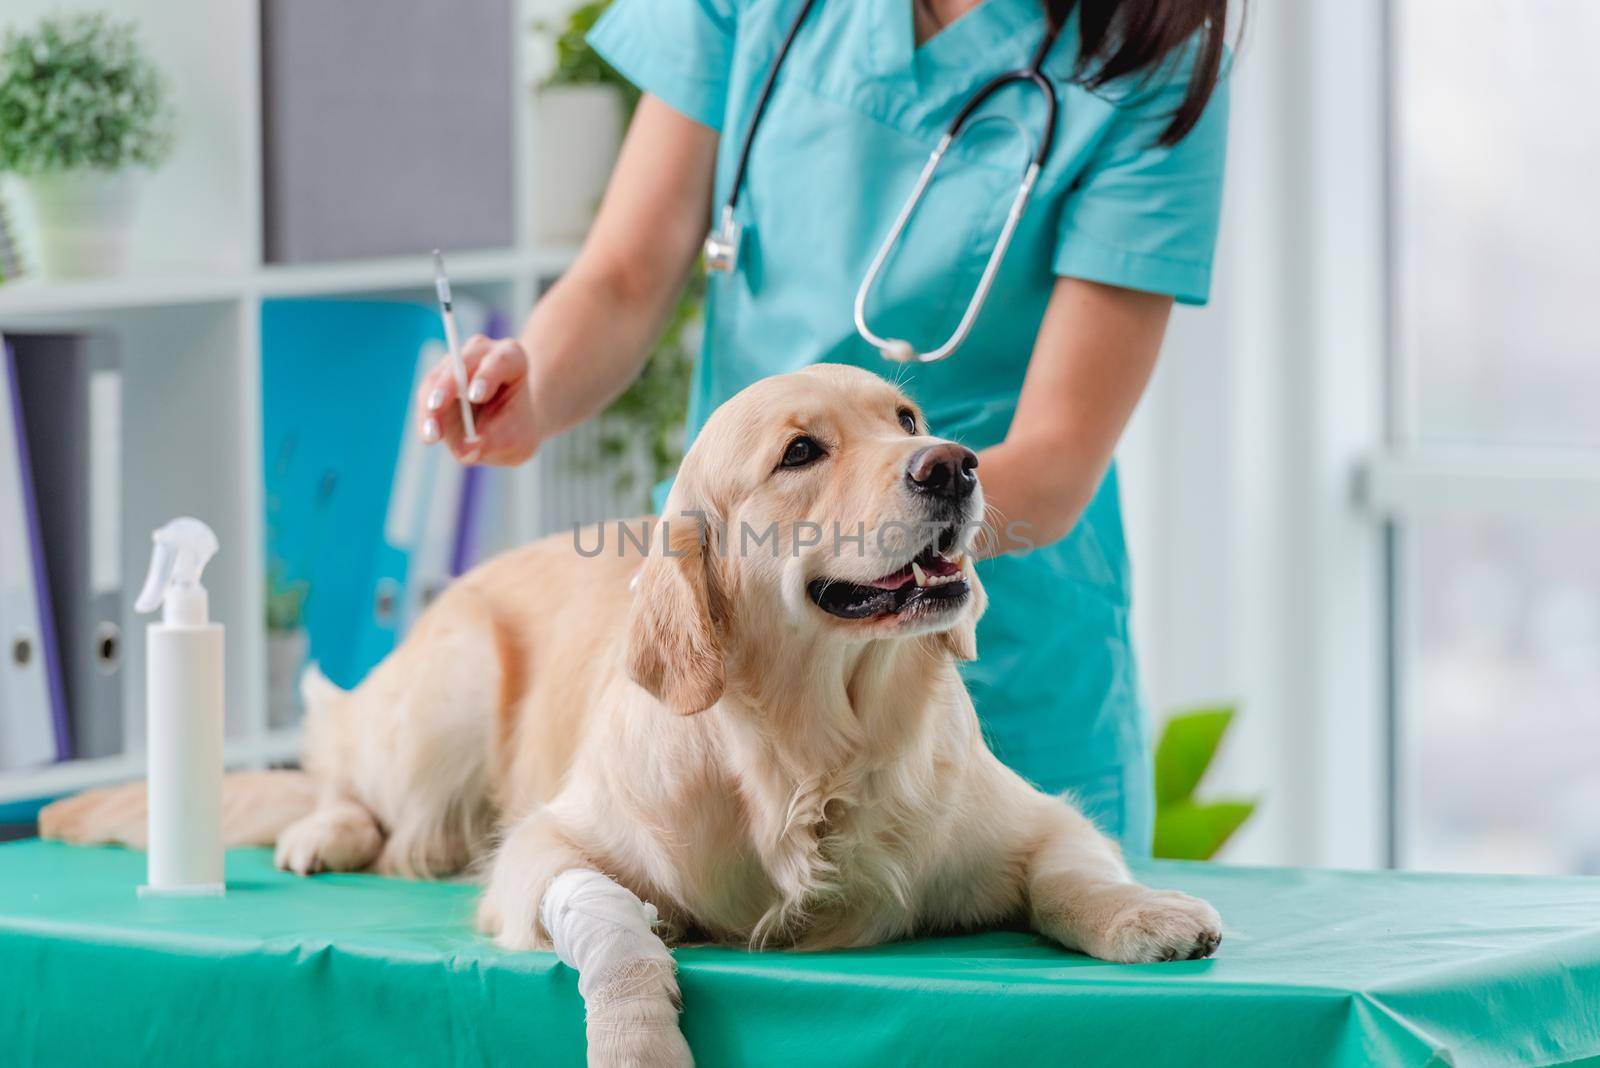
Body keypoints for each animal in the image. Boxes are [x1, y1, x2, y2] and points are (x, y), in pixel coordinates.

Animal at [46, 362, 1222, 1061]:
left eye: (907, 420)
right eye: (802, 452)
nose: (955, 466)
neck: (811, 750)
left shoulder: (1040, 817)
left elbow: (1074, 871)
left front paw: (1147, 916)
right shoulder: (544, 851)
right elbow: (614, 929)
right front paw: (635, 1035)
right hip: (449, 689)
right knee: (351, 784)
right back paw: (323, 832)